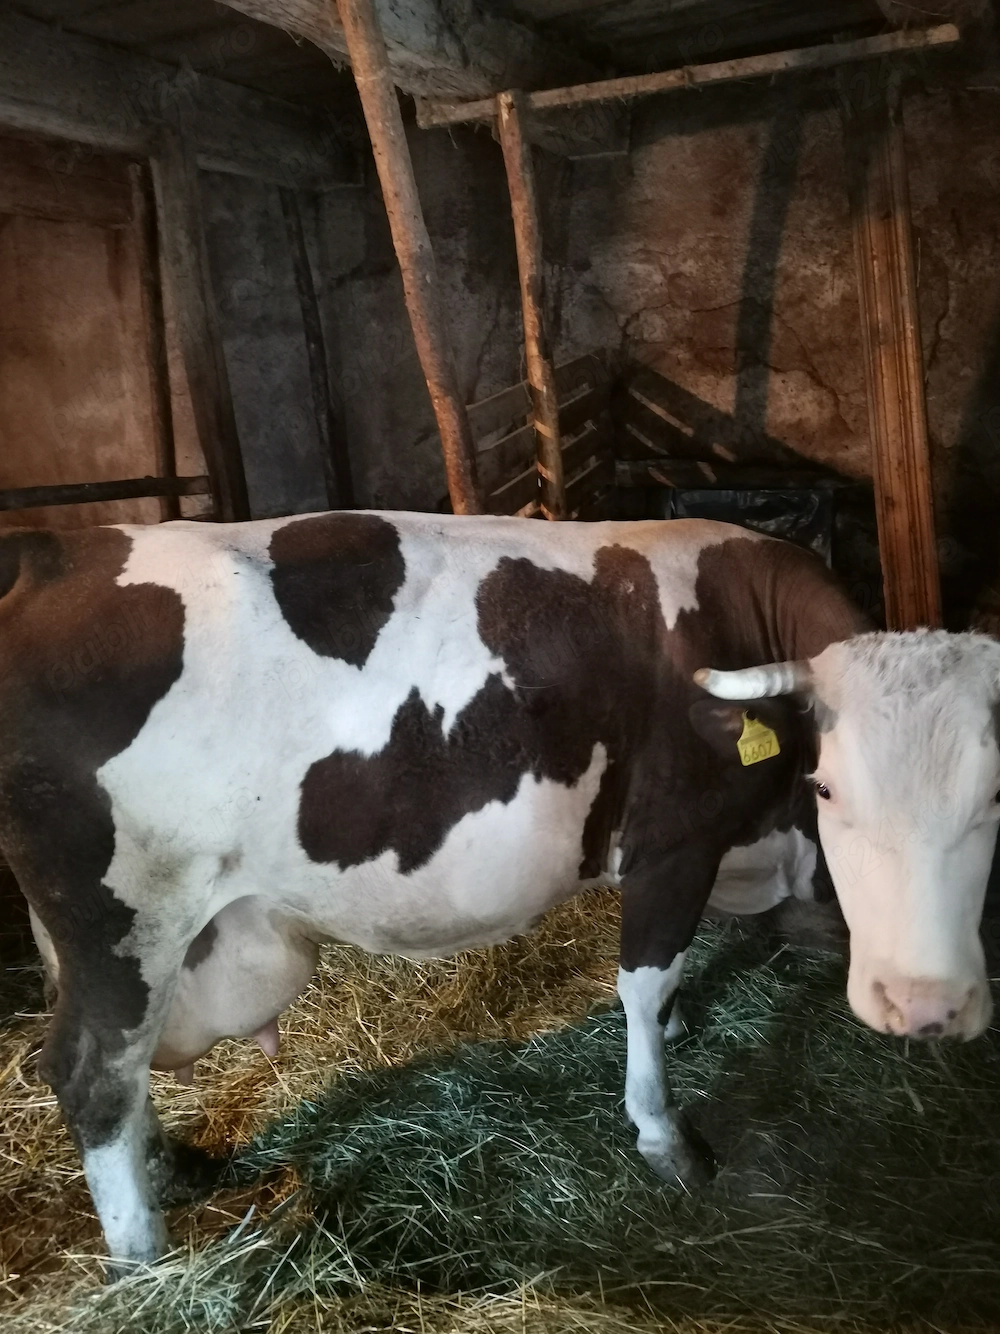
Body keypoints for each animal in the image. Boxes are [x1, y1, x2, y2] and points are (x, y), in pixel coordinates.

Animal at [2, 512, 997, 1274]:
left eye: (993, 797)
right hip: (122, 919)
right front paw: (663, 1133)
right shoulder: (674, 843)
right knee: (94, 1075)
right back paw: (145, 1262)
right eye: (829, 786)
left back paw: (170, 1170)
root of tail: (55, 554)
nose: (924, 1005)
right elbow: (644, 982)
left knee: (125, 1075)